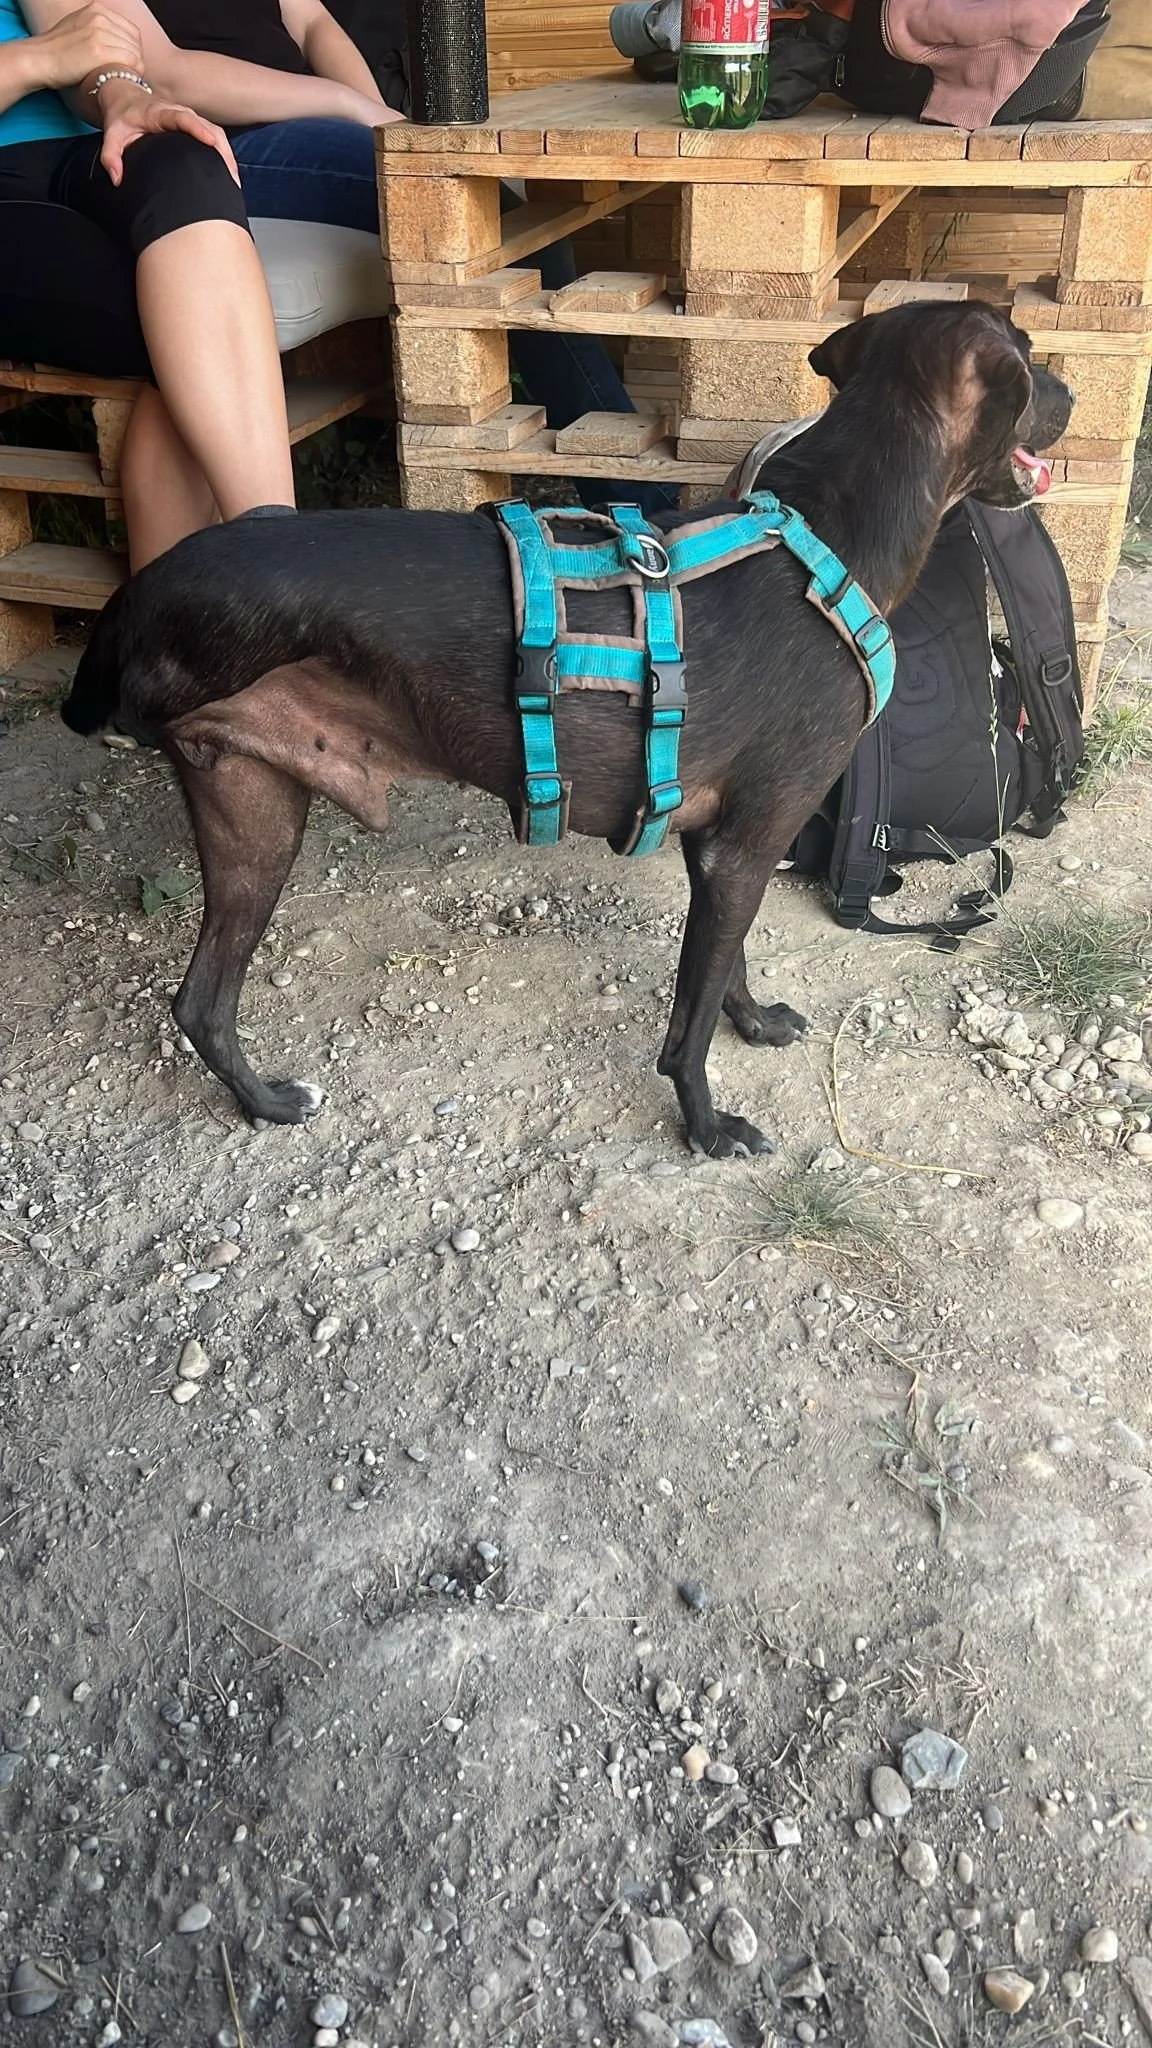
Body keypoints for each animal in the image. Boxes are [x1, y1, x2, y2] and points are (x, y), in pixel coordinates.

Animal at [61, 301, 1073, 1157]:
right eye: (1028, 353)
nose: (1070, 396)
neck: (826, 539)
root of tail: (142, 588)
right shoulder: (747, 842)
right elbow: (688, 1022)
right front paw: (706, 1125)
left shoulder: (723, 843)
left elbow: (728, 966)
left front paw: (751, 1023)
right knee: (202, 1000)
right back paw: (269, 1103)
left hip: (253, 808)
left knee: (198, 1003)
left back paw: (263, 1101)